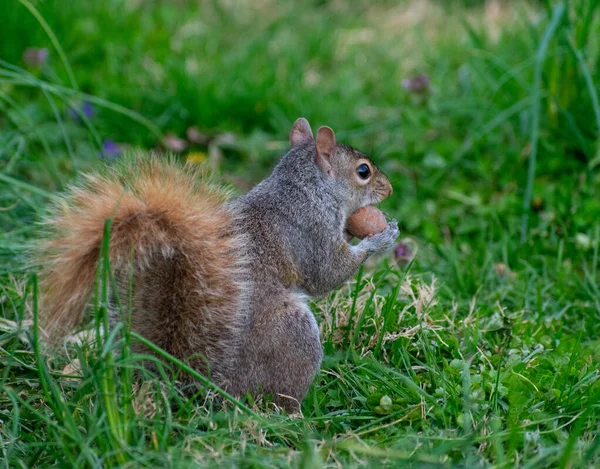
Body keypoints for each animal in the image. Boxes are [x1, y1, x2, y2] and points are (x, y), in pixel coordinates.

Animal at [35, 119, 396, 412]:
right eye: (363, 171)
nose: (389, 188)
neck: (304, 189)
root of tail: (191, 383)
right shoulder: (309, 232)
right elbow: (327, 274)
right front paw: (381, 238)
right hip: (293, 335)